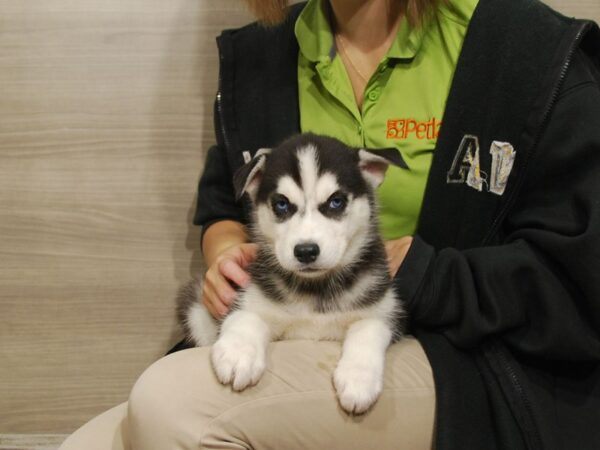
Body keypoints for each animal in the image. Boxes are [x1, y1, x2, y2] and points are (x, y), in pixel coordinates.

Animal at [178, 134, 408, 414]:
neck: (315, 289)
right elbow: (247, 317)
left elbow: (368, 328)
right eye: (281, 204)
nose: (306, 251)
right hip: (197, 313)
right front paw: (238, 354)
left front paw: (358, 379)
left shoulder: (383, 310)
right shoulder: (249, 296)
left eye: (336, 201)